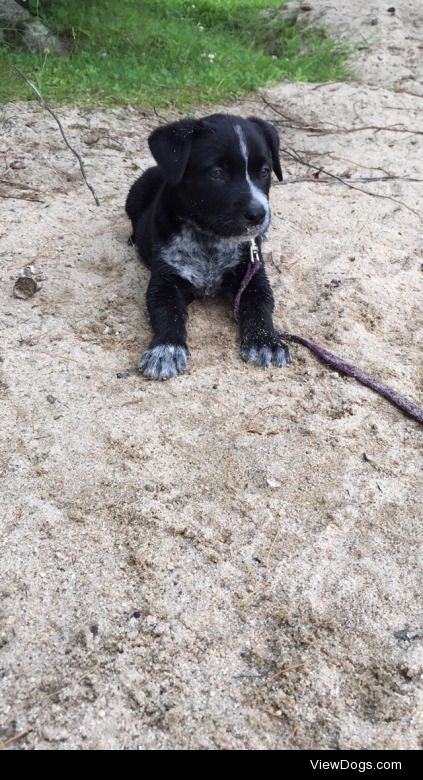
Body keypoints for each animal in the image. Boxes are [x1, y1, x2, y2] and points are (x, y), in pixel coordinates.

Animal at [126, 112, 292, 380]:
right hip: (135, 193)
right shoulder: (165, 279)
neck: (209, 239)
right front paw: (166, 349)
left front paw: (266, 341)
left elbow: (260, 306)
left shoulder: (252, 275)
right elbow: (166, 311)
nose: (258, 214)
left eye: (265, 171)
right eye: (217, 173)